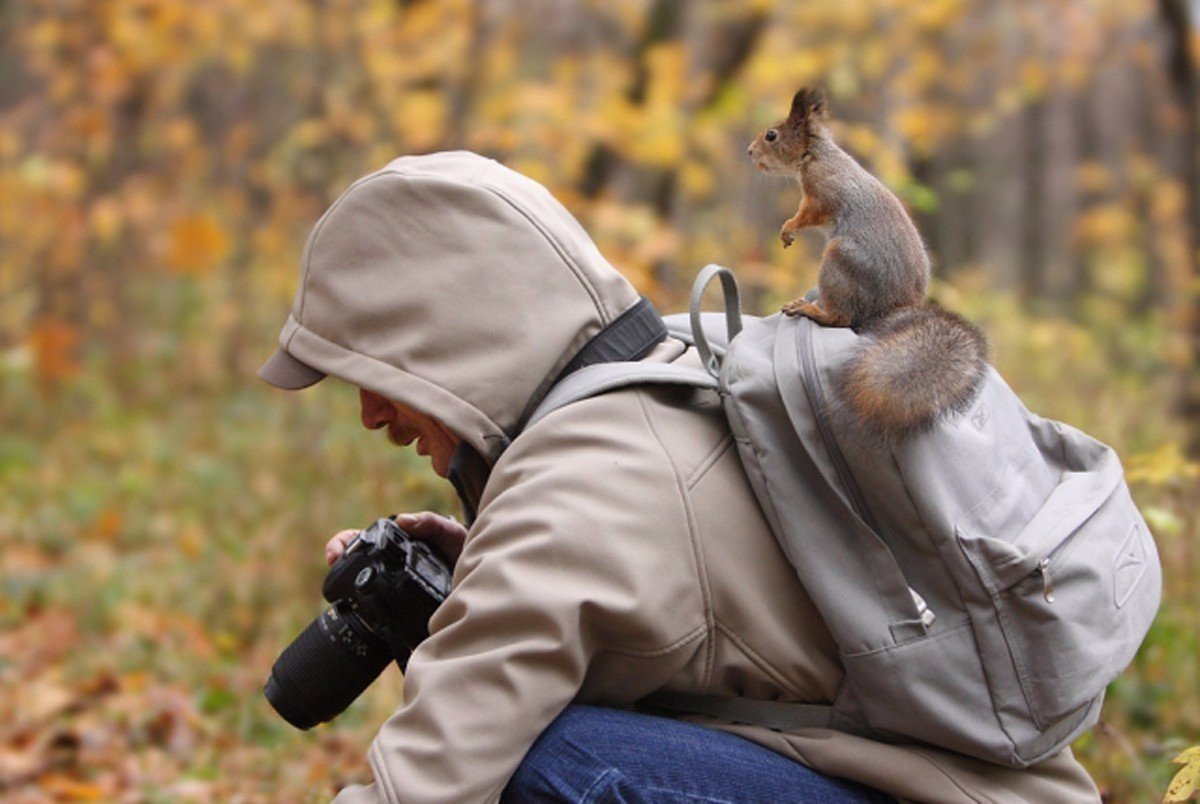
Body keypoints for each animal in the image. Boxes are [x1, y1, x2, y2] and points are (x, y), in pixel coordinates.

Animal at [744, 88, 988, 446]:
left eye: (772, 135)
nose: (749, 151)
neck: (815, 156)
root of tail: (894, 308)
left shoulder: (821, 195)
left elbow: (806, 214)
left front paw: (788, 228)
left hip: (840, 262)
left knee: (841, 318)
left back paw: (810, 309)